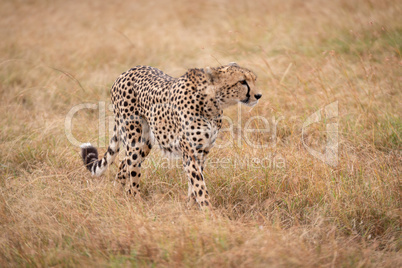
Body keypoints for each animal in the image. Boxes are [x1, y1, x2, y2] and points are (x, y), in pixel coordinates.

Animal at [81, 61, 262, 208]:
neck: (212, 103)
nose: (258, 95)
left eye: (254, 79)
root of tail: (127, 71)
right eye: (242, 81)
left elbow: (194, 183)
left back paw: (117, 195)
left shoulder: (202, 151)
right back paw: (136, 202)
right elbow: (199, 185)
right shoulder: (191, 152)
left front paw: (191, 207)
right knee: (132, 174)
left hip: (145, 143)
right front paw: (209, 212)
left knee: (123, 165)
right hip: (135, 139)